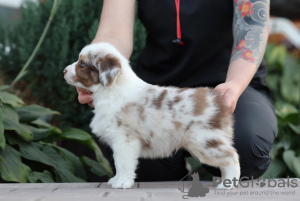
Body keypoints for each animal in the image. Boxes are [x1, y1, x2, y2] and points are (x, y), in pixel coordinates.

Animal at [62, 42, 239, 190]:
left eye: (82, 63)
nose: (64, 71)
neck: (111, 90)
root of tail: (217, 99)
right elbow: (118, 163)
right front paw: (116, 180)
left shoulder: (125, 139)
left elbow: (123, 163)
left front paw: (123, 182)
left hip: (204, 141)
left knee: (231, 157)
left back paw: (228, 184)